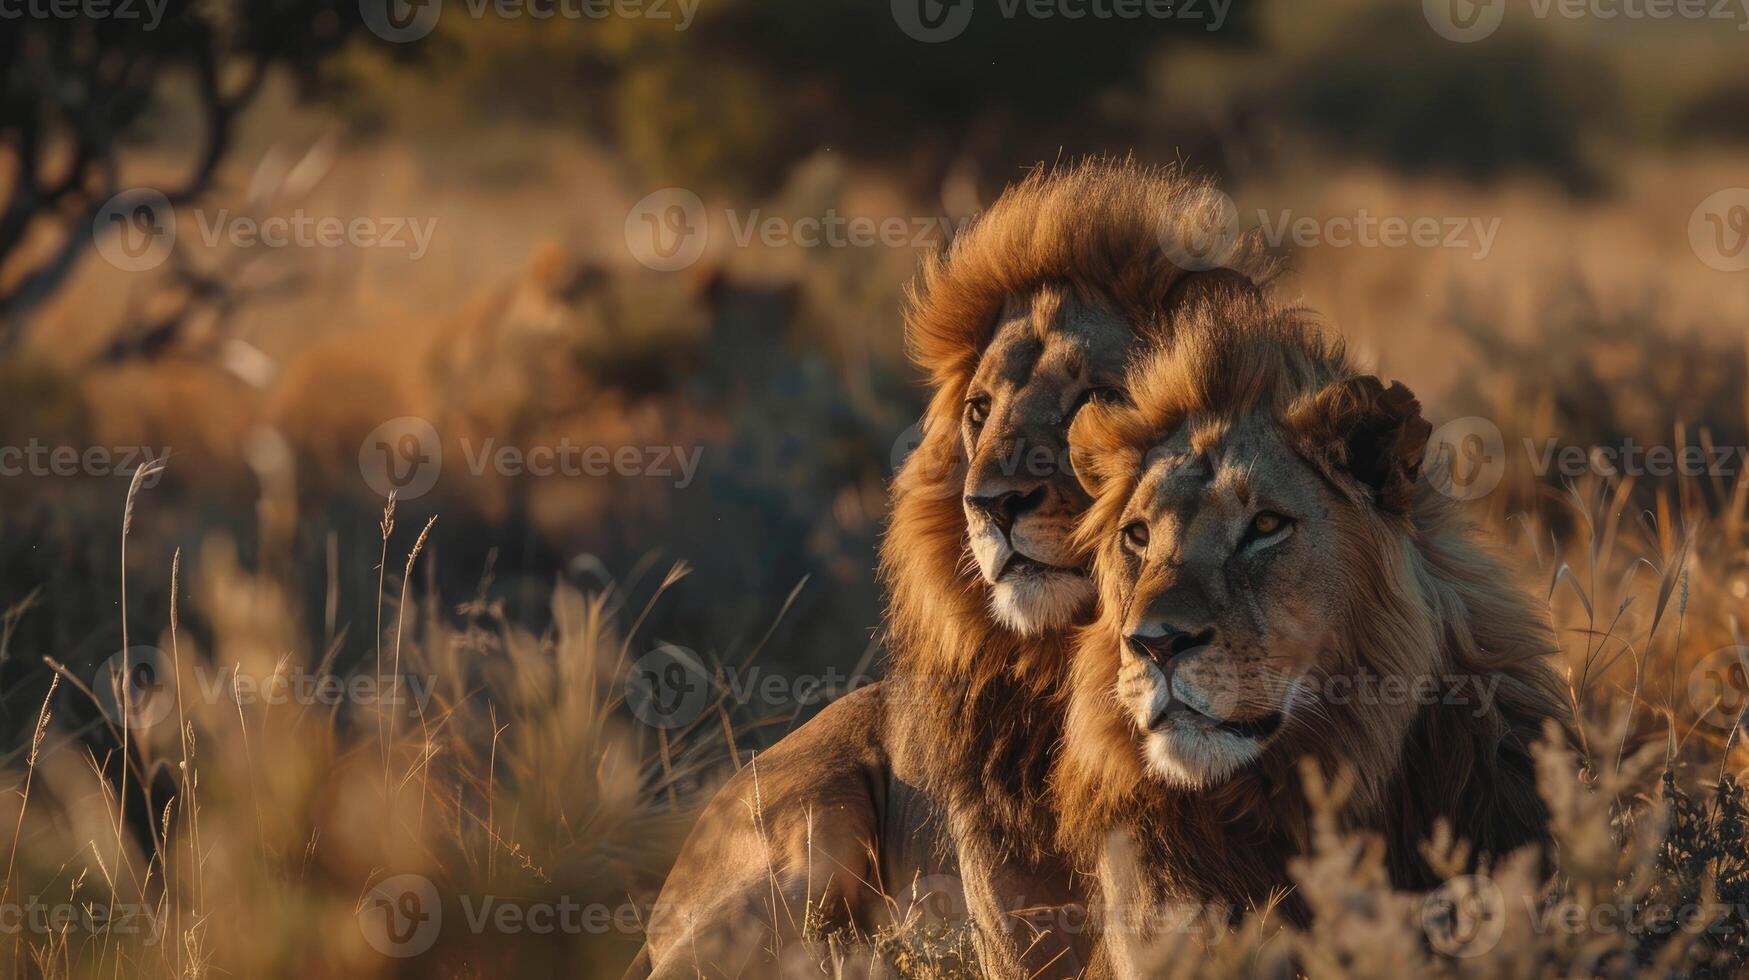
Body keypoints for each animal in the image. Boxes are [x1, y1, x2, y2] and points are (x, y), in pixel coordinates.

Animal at [626, 156, 1273, 973]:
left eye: (1094, 399)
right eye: (979, 411)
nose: (988, 504)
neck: (1062, 670)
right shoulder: (1012, 929)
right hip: (808, 837)